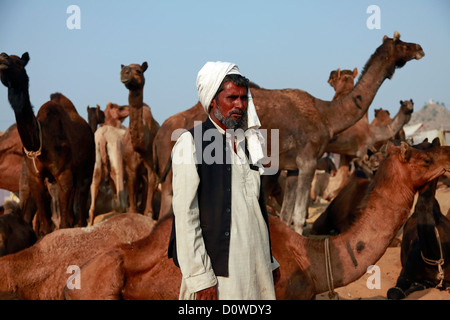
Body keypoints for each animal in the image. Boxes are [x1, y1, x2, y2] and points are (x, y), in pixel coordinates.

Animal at [120, 61, 161, 219]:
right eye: (124, 69)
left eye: (138, 70)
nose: (124, 72)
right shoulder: (130, 168)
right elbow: (132, 186)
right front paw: (133, 211)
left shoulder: (151, 164)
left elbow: (151, 182)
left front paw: (149, 213)